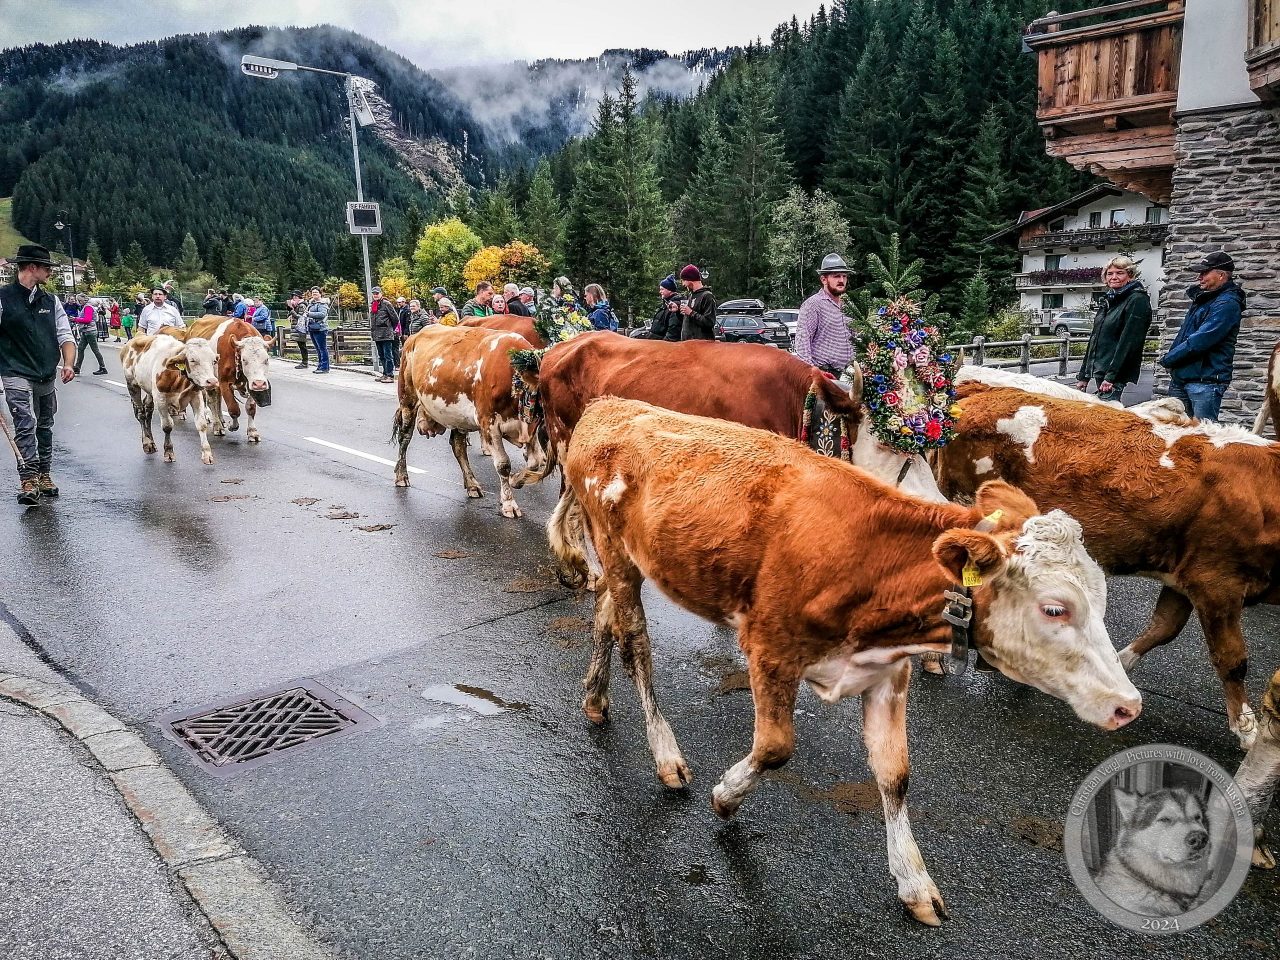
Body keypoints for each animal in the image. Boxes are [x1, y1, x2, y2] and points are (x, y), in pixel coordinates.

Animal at [120, 333, 220, 464]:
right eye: (192, 360)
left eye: (213, 361)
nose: (212, 381)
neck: (177, 376)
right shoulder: (161, 399)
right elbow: (167, 426)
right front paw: (168, 452)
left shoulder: (196, 397)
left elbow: (201, 425)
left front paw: (207, 454)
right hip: (132, 385)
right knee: (141, 414)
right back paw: (147, 444)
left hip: (149, 390)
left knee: (148, 411)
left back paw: (152, 442)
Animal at [392, 325, 548, 517]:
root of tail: (414, 335)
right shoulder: (489, 424)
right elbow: (503, 464)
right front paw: (509, 503)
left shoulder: (528, 425)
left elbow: (535, 462)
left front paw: (516, 480)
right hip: (408, 400)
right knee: (404, 438)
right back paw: (401, 476)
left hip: (457, 416)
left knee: (458, 447)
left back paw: (472, 484)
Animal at [549, 397, 1139, 926]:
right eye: (1055, 608)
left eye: (1103, 597)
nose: (1128, 706)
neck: (870, 563)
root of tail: (608, 405)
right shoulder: (769, 649)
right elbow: (776, 748)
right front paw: (725, 797)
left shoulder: (887, 672)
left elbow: (895, 774)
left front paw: (915, 883)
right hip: (620, 556)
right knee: (636, 645)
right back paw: (666, 754)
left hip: (618, 563)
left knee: (603, 616)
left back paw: (595, 699)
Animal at [936, 381, 1280, 748]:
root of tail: (979, 392)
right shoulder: (1216, 581)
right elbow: (1232, 659)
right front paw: (1247, 731)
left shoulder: (1184, 578)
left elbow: (1163, 627)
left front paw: (1120, 664)